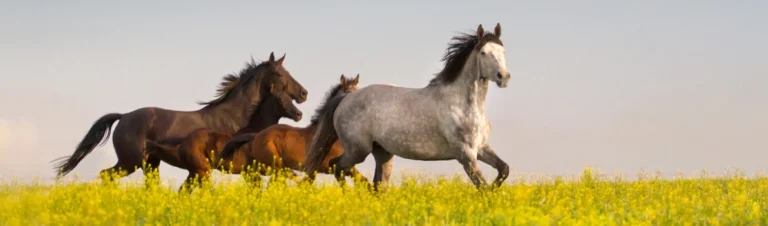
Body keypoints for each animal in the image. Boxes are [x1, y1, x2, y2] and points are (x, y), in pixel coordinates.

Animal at [51, 52, 308, 181]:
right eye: (279, 73)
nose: (304, 94)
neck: (237, 117)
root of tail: (123, 117)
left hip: (149, 163)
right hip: (131, 162)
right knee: (107, 176)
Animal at [304, 23, 510, 191]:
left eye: (503, 51)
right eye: (484, 53)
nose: (504, 77)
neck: (461, 105)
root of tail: (347, 97)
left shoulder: (480, 148)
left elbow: (503, 170)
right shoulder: (465, 154)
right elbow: (482, 187)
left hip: (383, 153)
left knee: (377, 185)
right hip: (358, 150)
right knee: (337, 167)